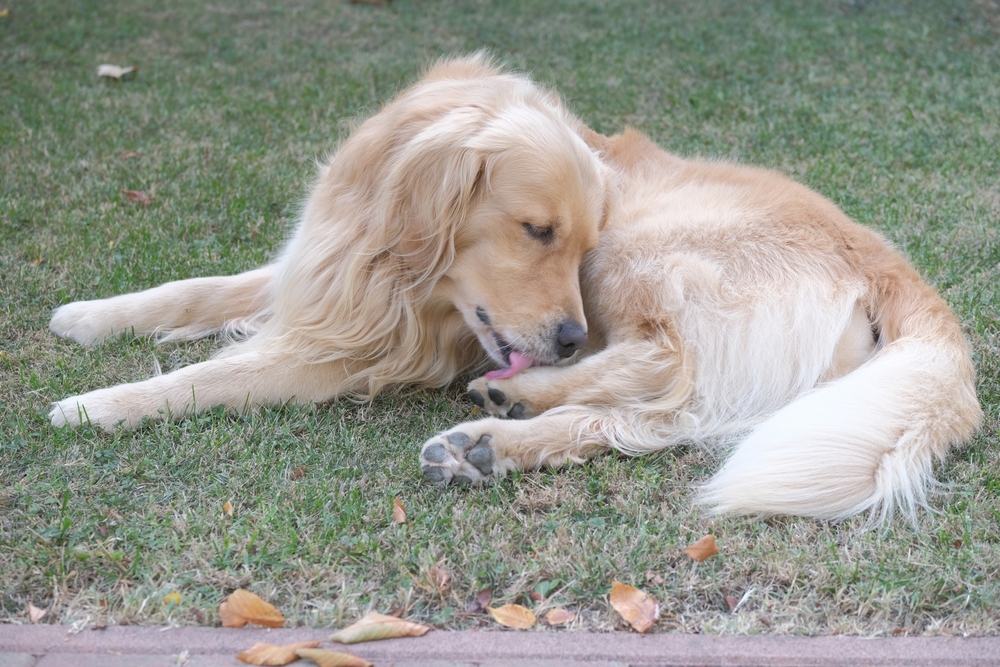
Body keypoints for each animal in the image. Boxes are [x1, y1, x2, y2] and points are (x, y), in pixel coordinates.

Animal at [50, 56, 980, 520]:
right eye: (539, 232)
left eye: (578, 238)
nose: (567, 335)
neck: (394, 262)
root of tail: (897, 268)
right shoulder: (317, 276)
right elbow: (197, 287)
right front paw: (90, 317)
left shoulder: (352, 354)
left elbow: (214, 376)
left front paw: (99, 403)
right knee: (647, 422)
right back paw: (492, 439)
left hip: (652, 258)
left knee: (660, 370)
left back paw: (515, 399)